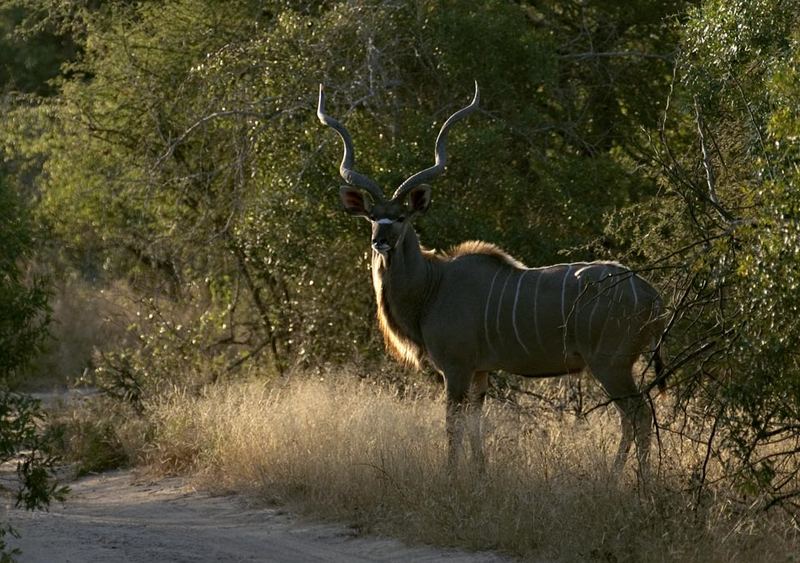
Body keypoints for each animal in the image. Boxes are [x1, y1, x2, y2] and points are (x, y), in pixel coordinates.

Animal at [316, 81, 664, 474]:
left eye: (402, 217)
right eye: (372, 217)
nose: (381, 241)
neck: (432, 286)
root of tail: (652, 296)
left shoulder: (455, 368)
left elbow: (453, 424)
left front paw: (451, 476)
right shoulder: (480, 372)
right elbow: (475, 423)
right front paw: (480, 473)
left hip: (610, 364)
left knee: (638, 414)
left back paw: (634, 479)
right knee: (633, 417)